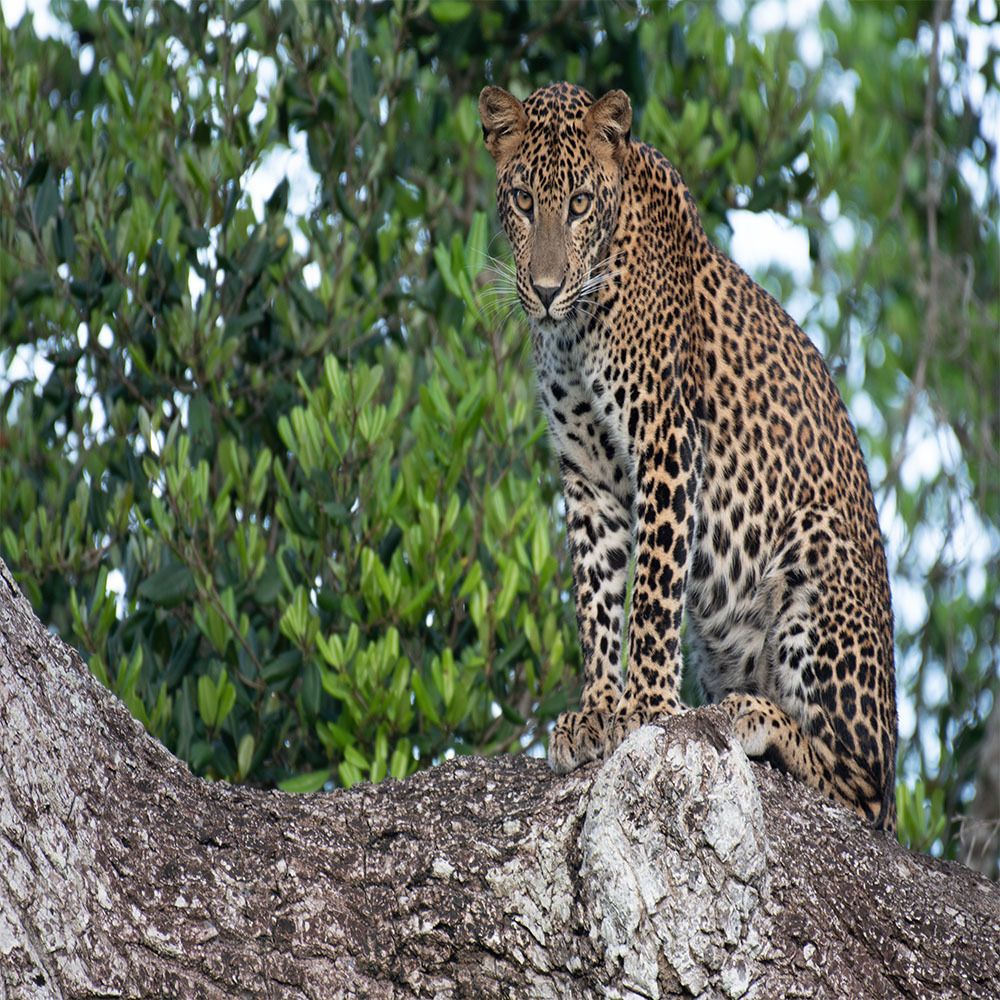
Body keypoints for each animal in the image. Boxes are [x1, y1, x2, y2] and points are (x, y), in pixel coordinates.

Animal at [479, 81, 898, 831]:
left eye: (579, 204)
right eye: (523, 199)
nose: (547, 291)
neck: (578, 322)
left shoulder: (667, 441)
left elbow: (650, 588)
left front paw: (645, 707)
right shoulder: (587, 474)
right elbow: (595, 595)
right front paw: (595, 712)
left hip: (817, 565)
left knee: (861, 789)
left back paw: (755, 718)